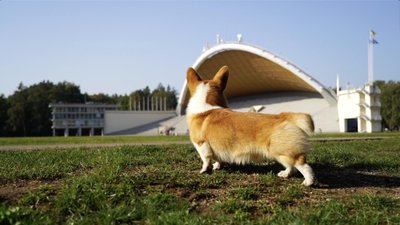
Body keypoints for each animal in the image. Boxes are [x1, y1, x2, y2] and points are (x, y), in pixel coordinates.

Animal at [187, 65, 316, 186]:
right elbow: (218, 159)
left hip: (283, 152)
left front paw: (204, 170)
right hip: (281, 154)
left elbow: (205, 159)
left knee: (302, 165)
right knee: (290, 166)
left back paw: (308, 182)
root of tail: (284, 116)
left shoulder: (201, 144)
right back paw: (285, 174)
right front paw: (217, 166)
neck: (206, 105)